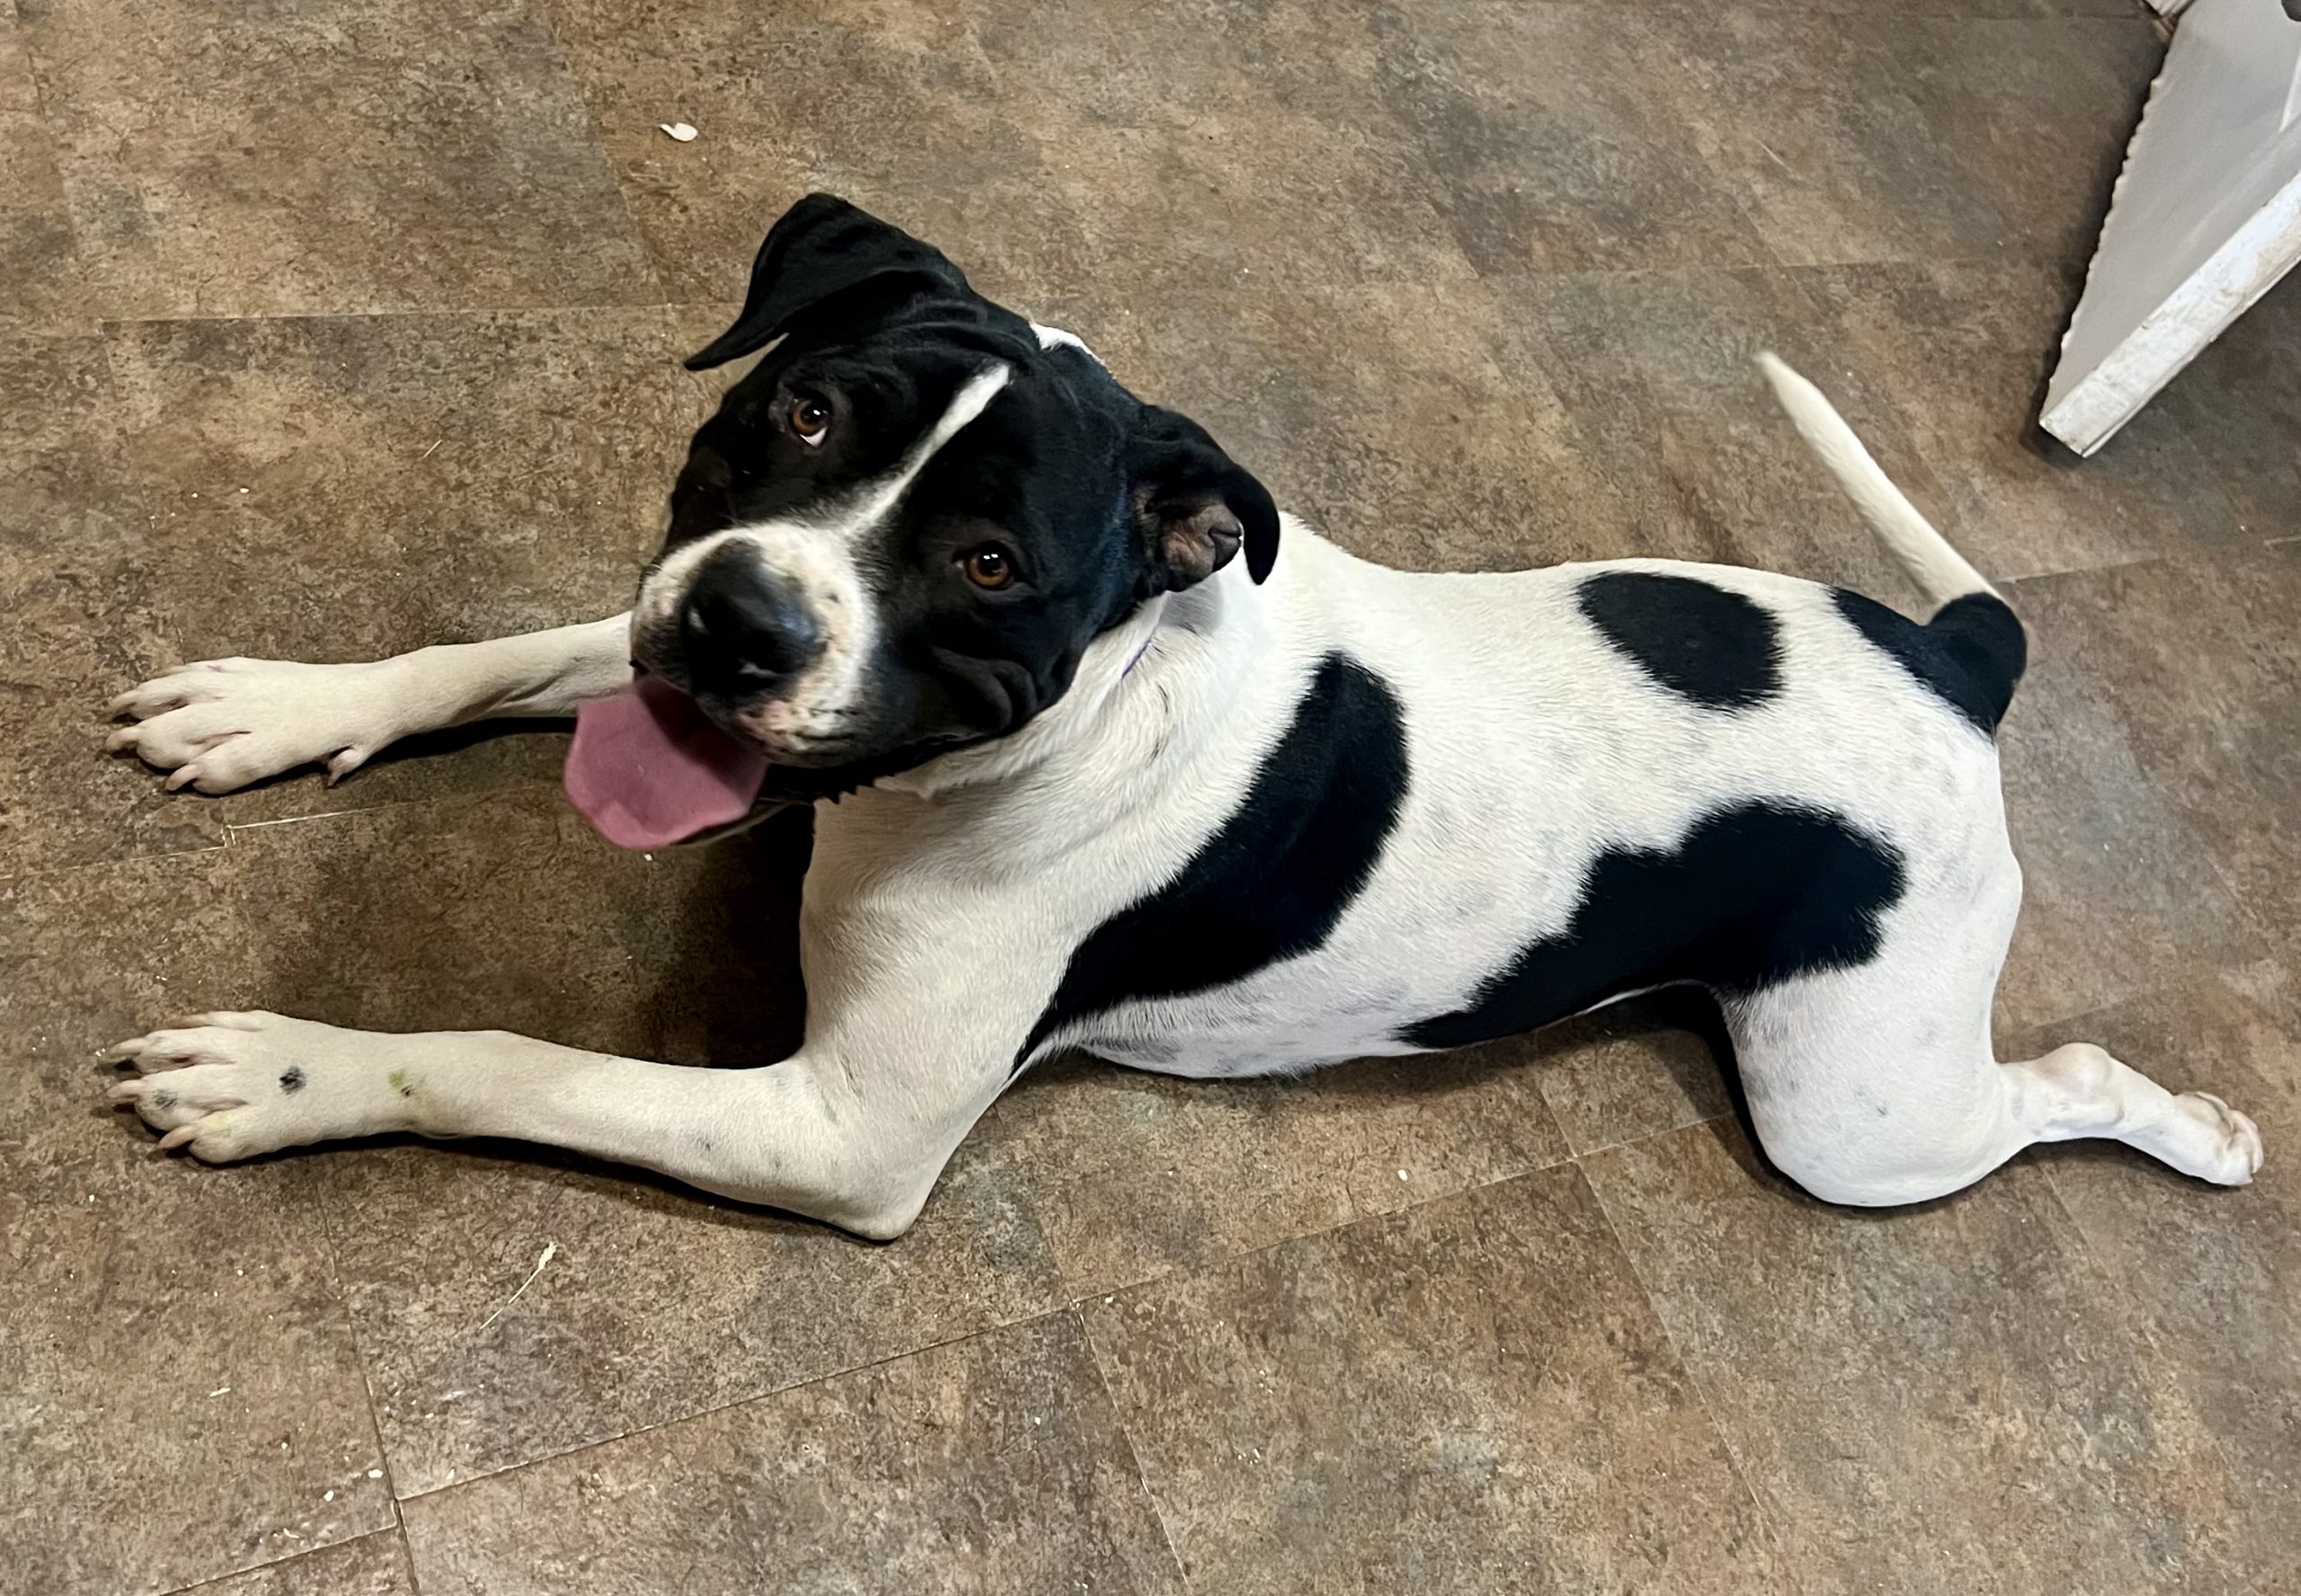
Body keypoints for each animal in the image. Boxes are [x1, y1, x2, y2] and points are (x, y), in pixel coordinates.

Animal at [104, 194, 2262, 1239]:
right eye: (803, 410)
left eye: (991, 565)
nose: (736, 627)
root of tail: (1956, 663)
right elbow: (488, 654)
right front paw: (277, 708)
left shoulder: (842, 1130)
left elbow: (501, 1055)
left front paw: (286, 1071)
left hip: (1858, 1110)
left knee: (2053, 1090)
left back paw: (2205, 1132)